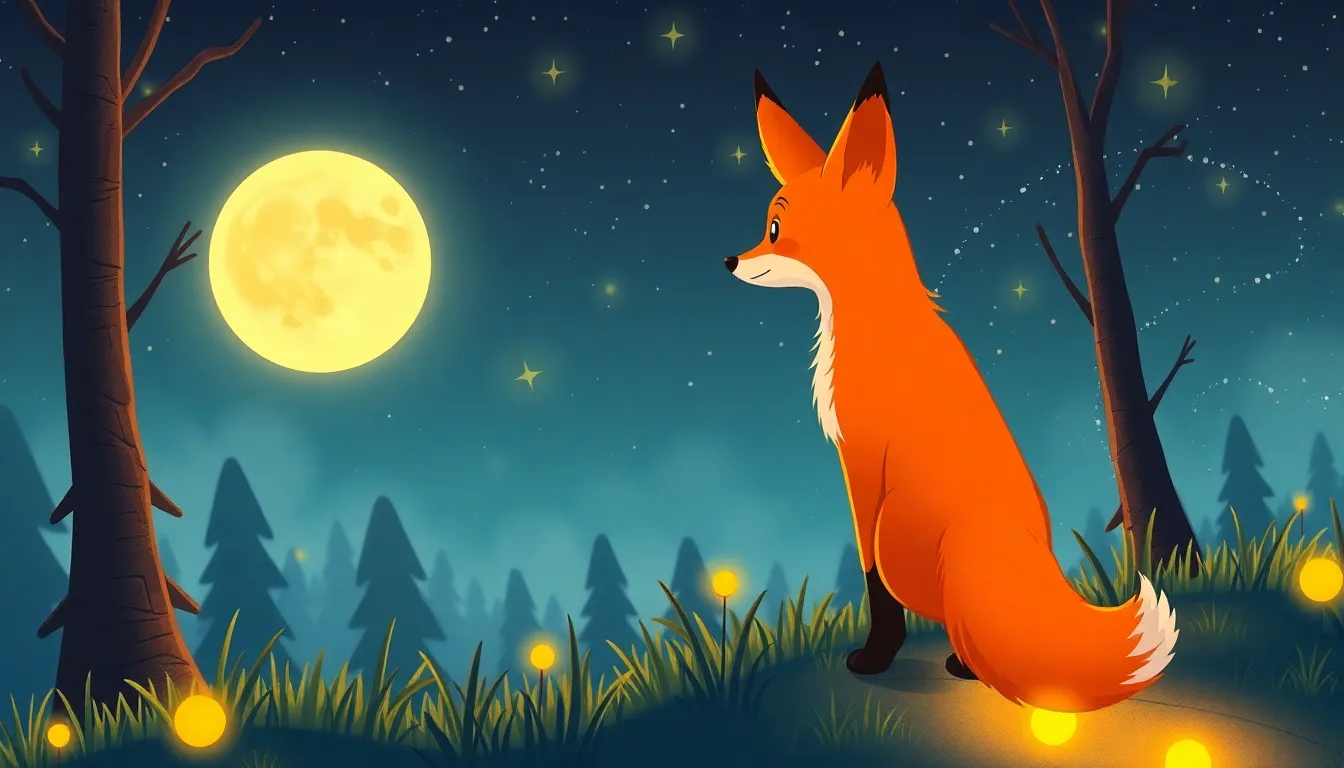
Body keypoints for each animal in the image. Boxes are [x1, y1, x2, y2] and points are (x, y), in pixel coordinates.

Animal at [724, 62, 1178, 713]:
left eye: (776, 229)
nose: (730, 260)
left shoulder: (865, 466)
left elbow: (871, 580)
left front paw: (875, 656)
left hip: (923, 540)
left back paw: (963, 665)